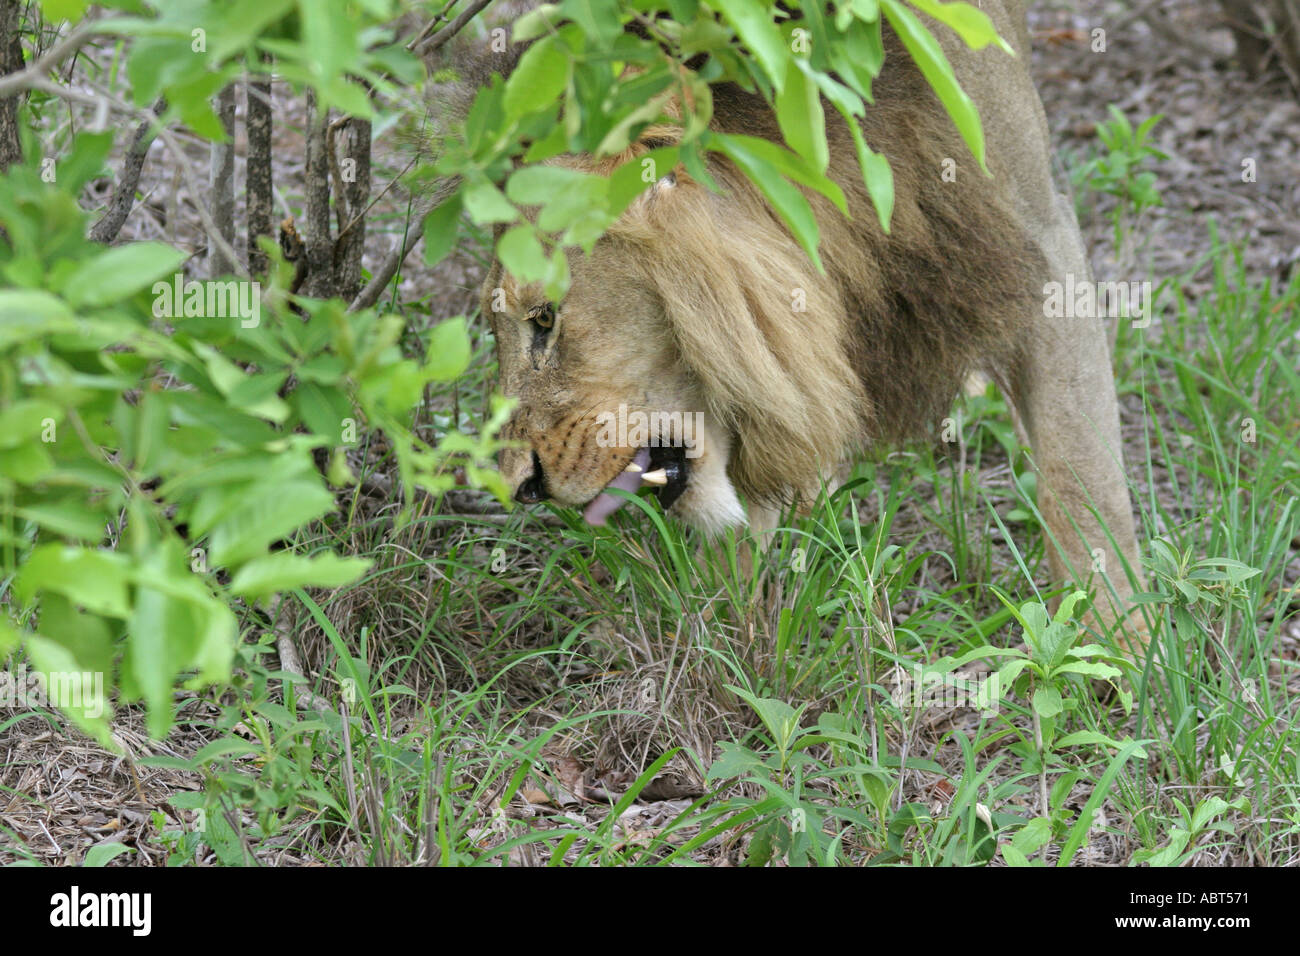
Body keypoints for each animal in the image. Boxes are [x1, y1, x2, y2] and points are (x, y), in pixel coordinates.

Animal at [477, 1, 1148, 653]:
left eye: (545, 320)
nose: (519, 488)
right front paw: (726, 643)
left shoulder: (1042, 242)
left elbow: (1083, 480)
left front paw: (1115, 649)